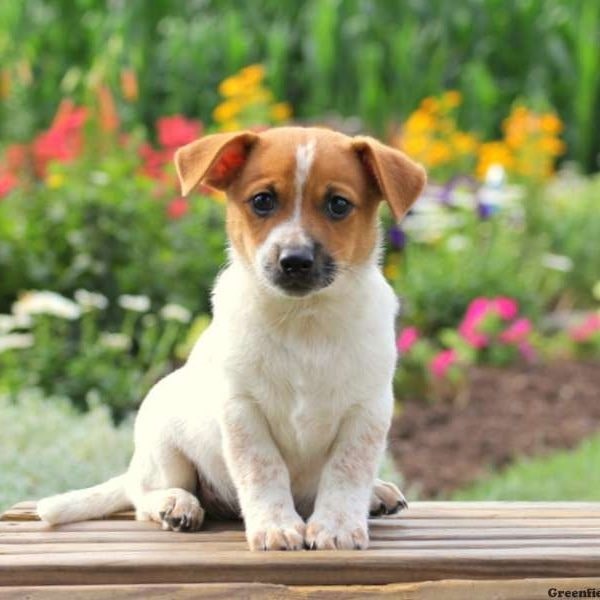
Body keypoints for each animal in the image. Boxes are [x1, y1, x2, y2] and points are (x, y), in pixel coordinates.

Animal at [37, 129, 426, 552]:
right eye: (262, 200)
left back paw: (375, 494)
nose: (295, 261)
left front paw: (336, 526)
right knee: (145, 495)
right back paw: (176, 504)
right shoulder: (243, 411)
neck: (304, 321)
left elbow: (346, 473)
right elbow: (264, 470)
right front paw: (276, 526)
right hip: (163, 444)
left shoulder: (367, 412)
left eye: (338, 204)